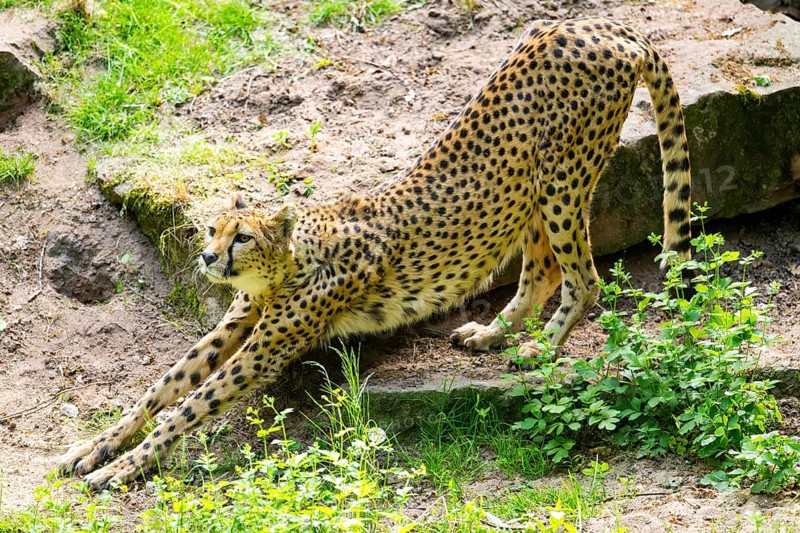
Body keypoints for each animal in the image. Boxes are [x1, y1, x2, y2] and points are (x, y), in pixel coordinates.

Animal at [60, 17, 691, 488]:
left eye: (242, 237)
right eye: (212, 229)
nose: (210, 260)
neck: (289, 261)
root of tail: (599, 24)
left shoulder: (267, 347)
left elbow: (188, 405)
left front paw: (124, 467)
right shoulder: (239, 322)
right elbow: (163, 386)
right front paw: (93, 448)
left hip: (562, 177)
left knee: (584, 278)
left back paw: (539, 348)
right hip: (531, 187)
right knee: (542, 271)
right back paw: (492, 334)